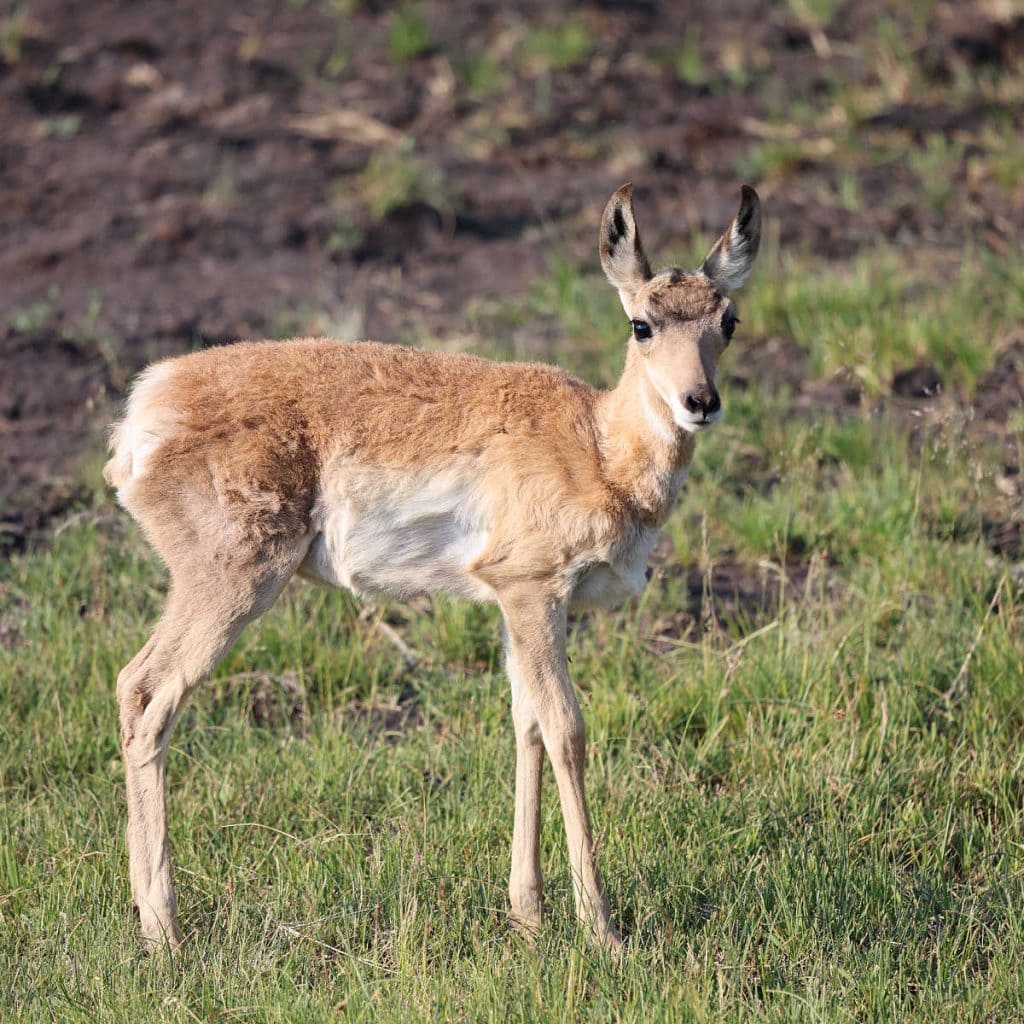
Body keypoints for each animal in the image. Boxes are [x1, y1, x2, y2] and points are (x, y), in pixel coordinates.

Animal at [106, 183, 761, 950]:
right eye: (642, 324)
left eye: (728, 320)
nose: (701, 403)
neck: (598, 445)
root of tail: (148, 403)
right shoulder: (534, 593)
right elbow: (567, 728)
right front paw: (602, 930)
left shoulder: (518, 608)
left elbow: (525, 724)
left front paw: (529, 913)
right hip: (234, 583)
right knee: (148, 693)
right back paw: (166, 932)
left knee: (135, 690)